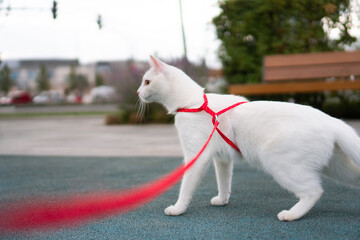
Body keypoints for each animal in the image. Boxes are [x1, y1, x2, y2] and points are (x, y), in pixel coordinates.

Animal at [137, 55, 360, 221]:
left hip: (278, 161)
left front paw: (178, 208)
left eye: (147, 81)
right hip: (338, 168)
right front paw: (222, 200)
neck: (193, 103)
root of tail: (332, 121)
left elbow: (186, 186)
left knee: (314, 191)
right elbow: (224, 182)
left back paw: (291, 214)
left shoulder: (197, 156)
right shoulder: (222, 159)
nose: (138, 92)